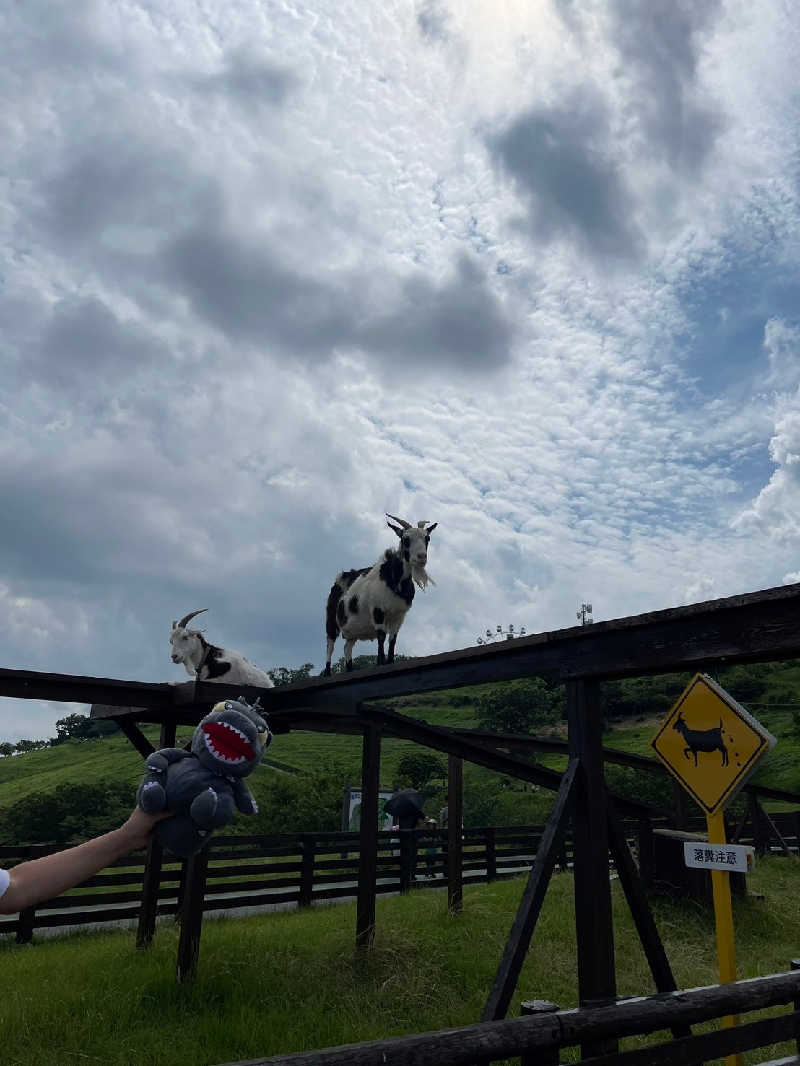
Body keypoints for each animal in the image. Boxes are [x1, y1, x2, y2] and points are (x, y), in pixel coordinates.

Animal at [324, 513, 439, 673]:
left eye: (427, 538)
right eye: (406, 539)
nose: (421, 557)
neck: (393, 579)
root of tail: (339, 579)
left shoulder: (399, 616)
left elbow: (393, 639)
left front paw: (390, 662)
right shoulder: (378, 611)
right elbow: (381, 637)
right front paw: (380, 663)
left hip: (352, 630)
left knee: (347, 647)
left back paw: (350, 669)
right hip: (331, 621)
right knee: (330, 645)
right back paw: (327, 673)